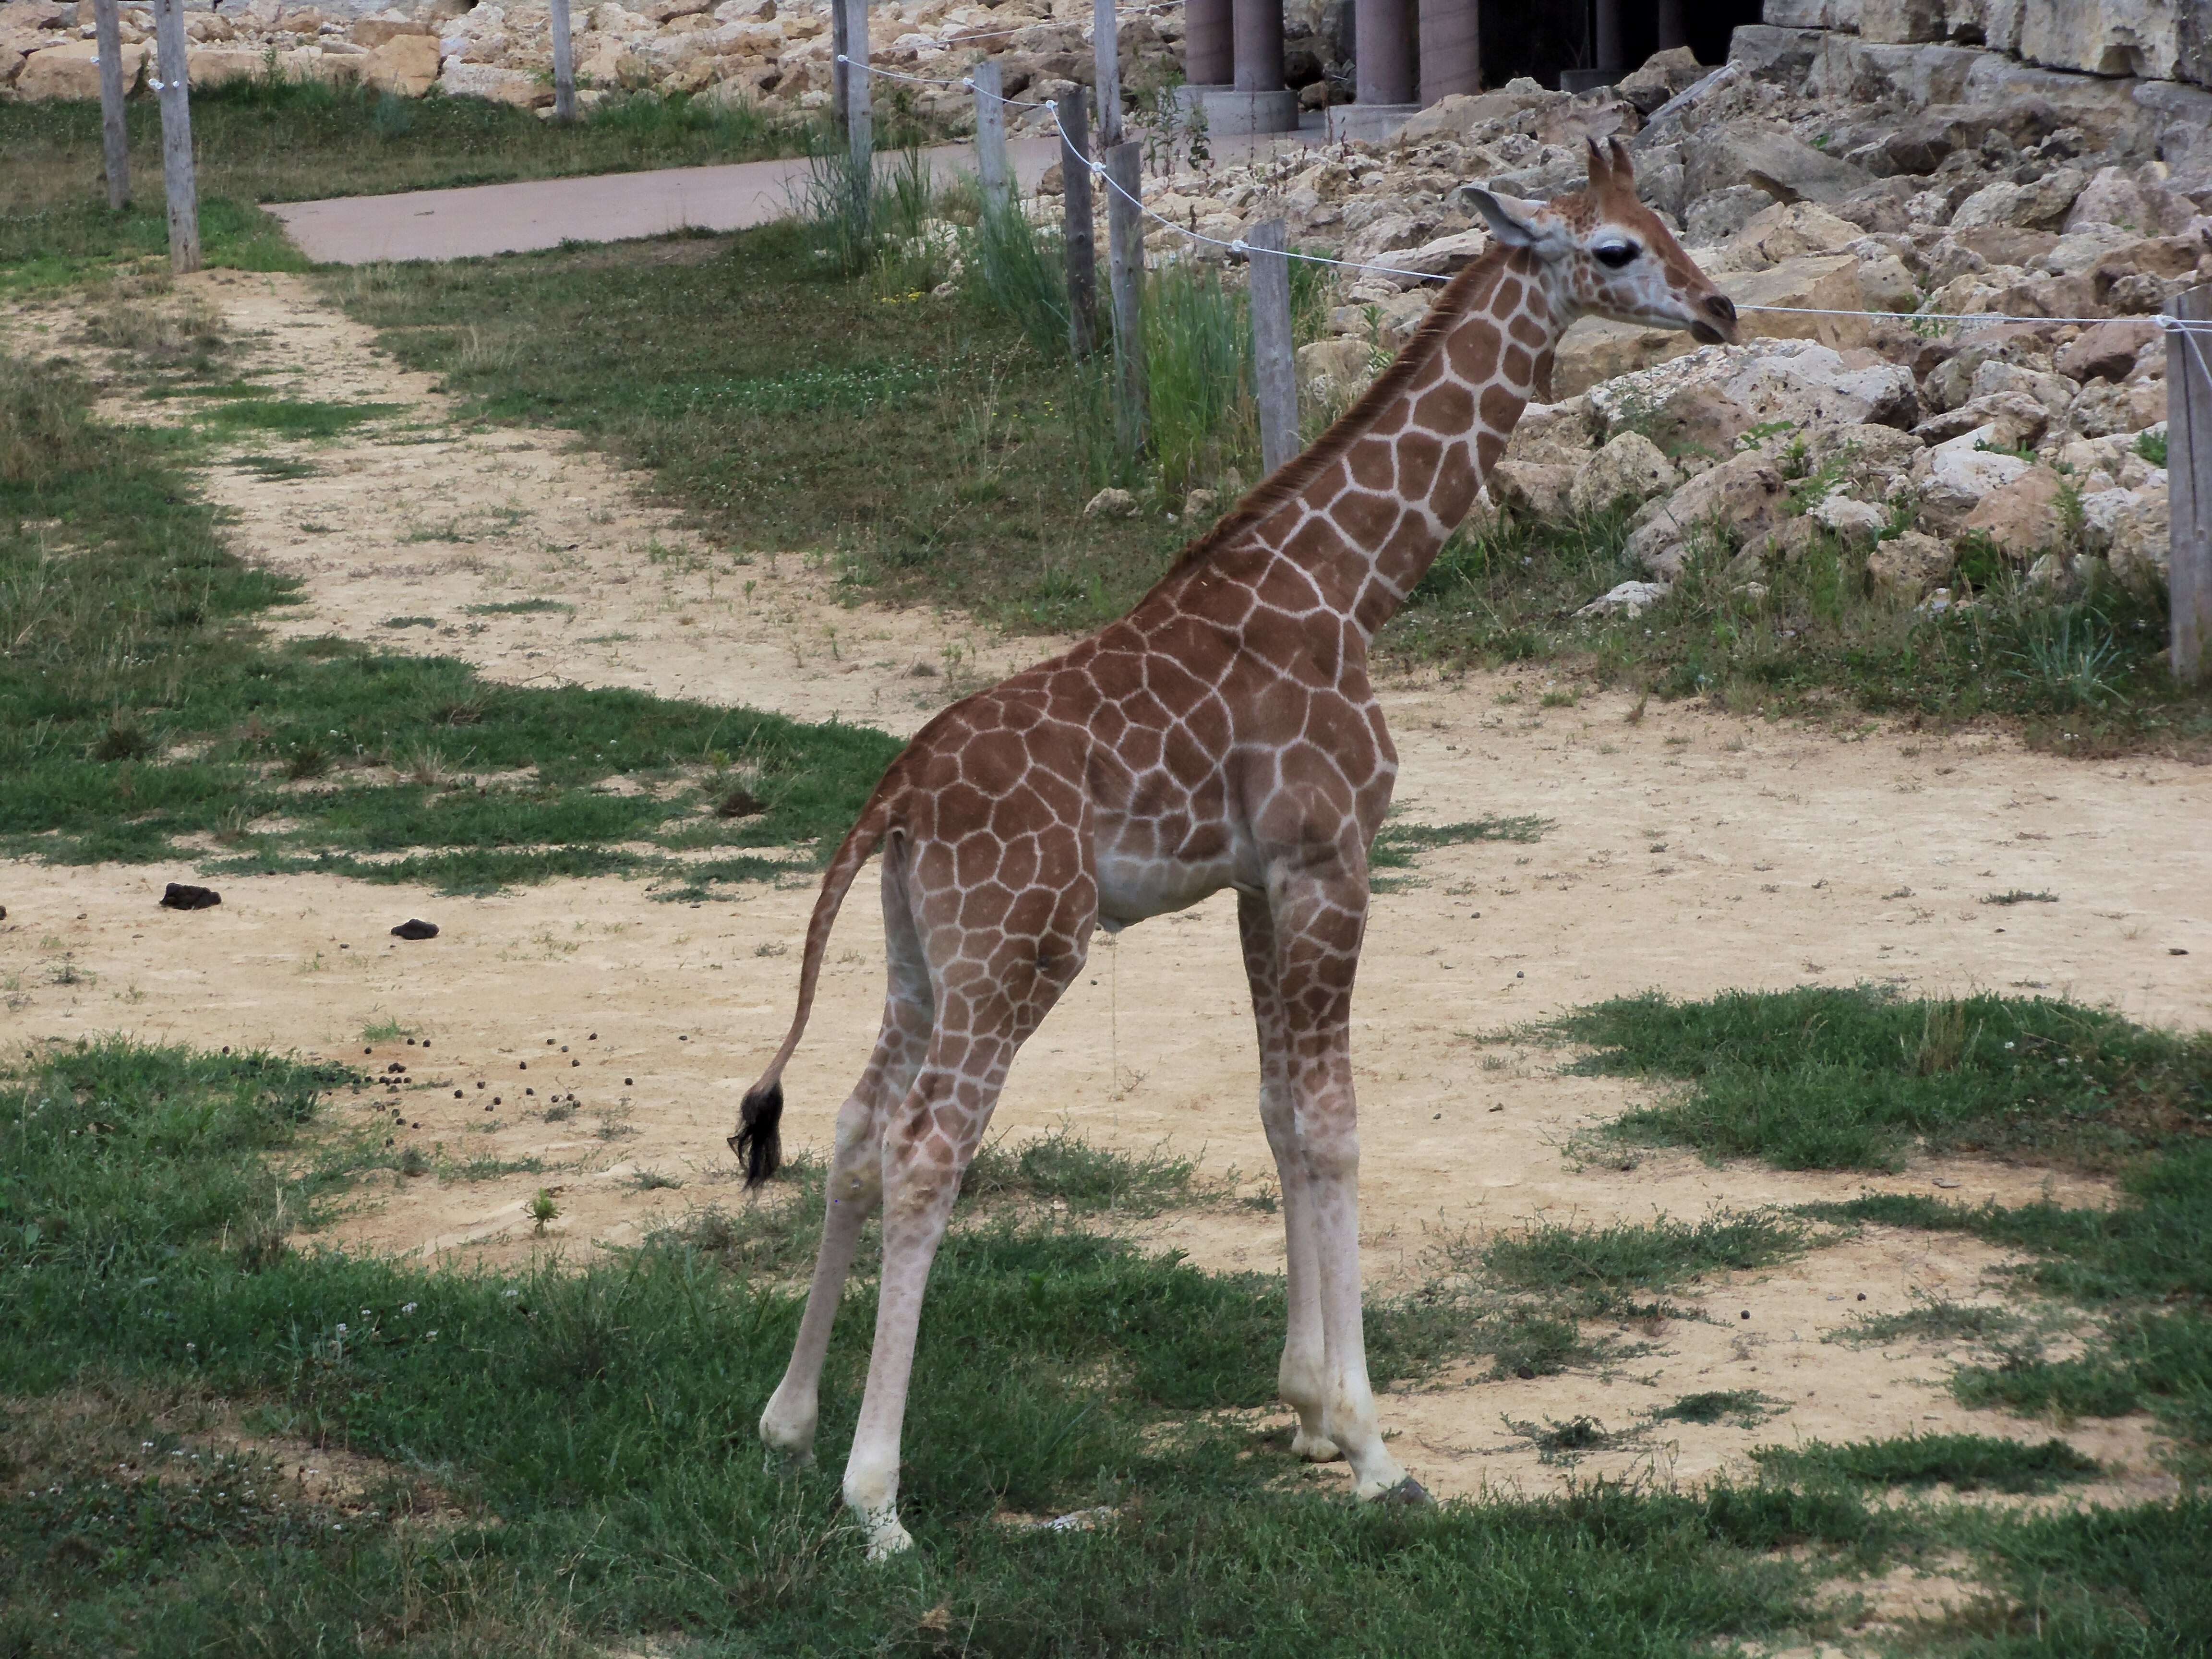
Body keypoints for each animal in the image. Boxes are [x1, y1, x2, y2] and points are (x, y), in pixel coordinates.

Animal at [734, 140, 1734, 1557]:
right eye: (1615, 250)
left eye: (1668, 220)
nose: (1721, 310)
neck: (1354, 584)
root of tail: (899, 792)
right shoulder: (1332, 859)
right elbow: (1336, 1123)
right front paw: (1371, 1444)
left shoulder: (1261, 882)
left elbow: (1274, 1111)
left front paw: (1305, 1407)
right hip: (1022, 948)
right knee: (931, 1151)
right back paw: (877, 1500)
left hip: (919, 952)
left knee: (857, 1128)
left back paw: (789, 1422)